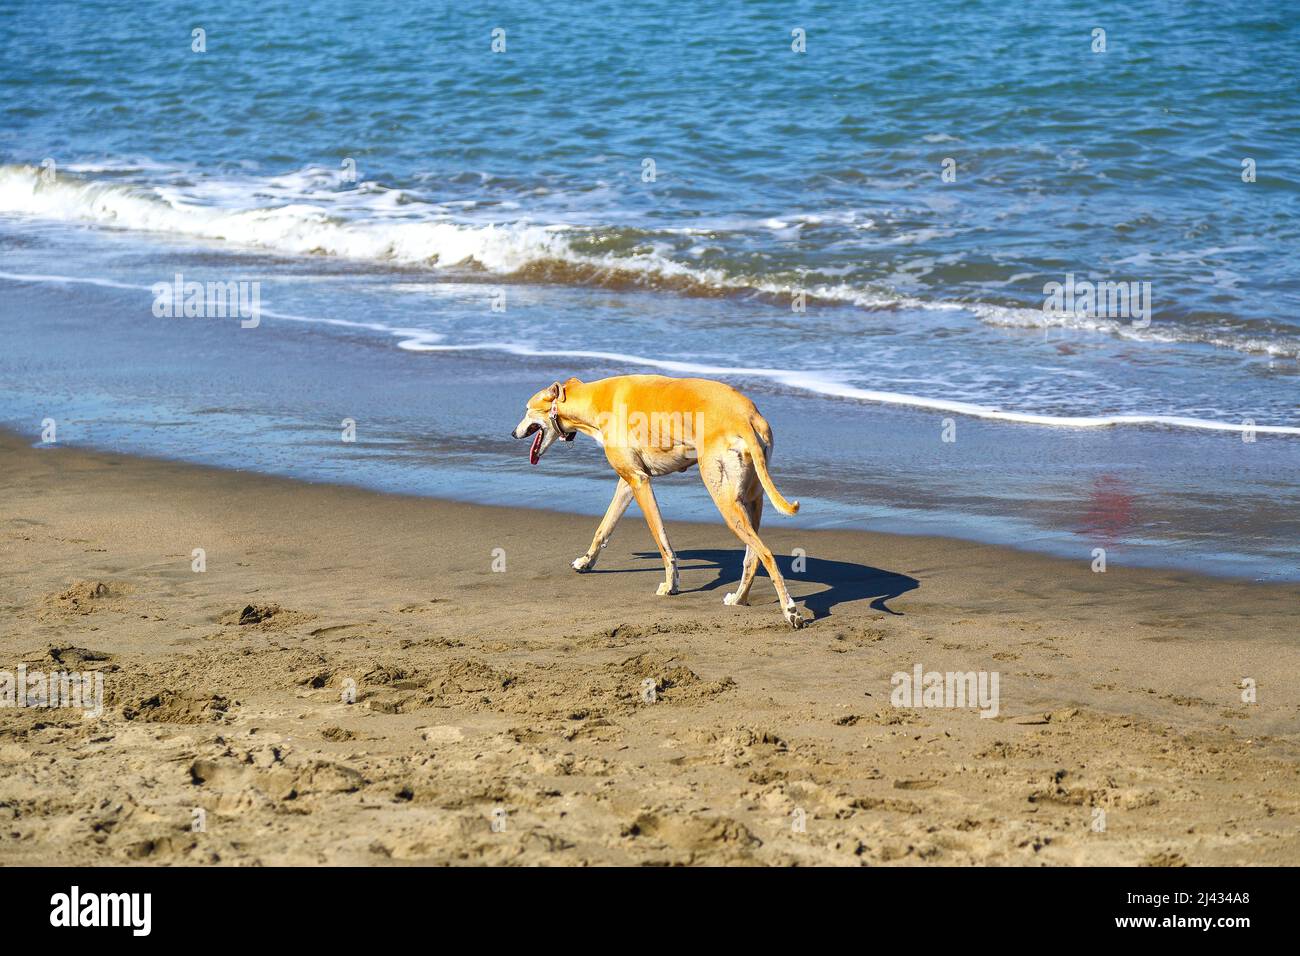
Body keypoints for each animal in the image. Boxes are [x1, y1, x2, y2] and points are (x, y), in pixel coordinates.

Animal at [512, 374, 806, 629]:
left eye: (526, 409)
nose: (513, 433)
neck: (597, 399)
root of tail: (746, 417)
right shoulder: (628, 481)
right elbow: (603, 528)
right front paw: (585, 562)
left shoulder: (640, 482)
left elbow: (662, 540)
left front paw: (671, 585)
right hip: (752, 499)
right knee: (752, 558)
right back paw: (739, 599)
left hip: (725, 499)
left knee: (766, 554)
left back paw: (790, 611)